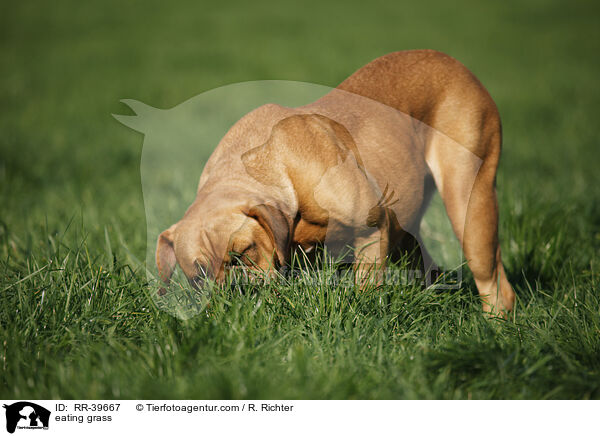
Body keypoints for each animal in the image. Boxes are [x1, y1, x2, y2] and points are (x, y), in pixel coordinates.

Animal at [155, 50, 516, 316]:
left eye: (244, 252)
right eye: (199, 276)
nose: (233, 290)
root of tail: (455, 64)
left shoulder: (371, 230)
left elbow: (366, 287)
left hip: (469, 204)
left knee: (495, 284)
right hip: (408, 230)